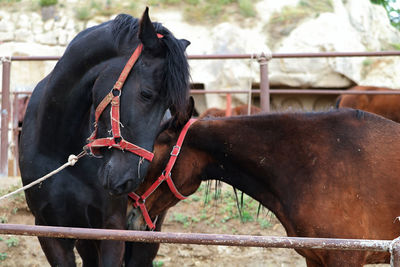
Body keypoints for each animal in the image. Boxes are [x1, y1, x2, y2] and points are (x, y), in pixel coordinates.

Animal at [19, 7, 191, 266]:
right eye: (146, 94)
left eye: (168, 106)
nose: (129, 180)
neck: (57, 143)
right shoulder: (50, 231)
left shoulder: (111, 229)